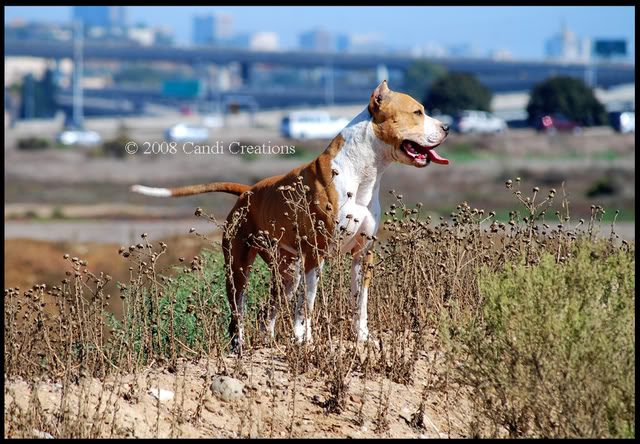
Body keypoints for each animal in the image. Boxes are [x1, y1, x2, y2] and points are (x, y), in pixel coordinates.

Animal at [131, 81, 450, 352]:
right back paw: (240, 347)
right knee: (238, 312)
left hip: (286, 272)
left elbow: (360, 301)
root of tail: (247, 192)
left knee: (268, 311)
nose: (447, 126)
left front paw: (362, 337)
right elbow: (307, 304)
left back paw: (268, 342)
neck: (363, 172)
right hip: (238, 268)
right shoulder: (316, 256)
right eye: (418, 112)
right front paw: (304, 339)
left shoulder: (363, 253)